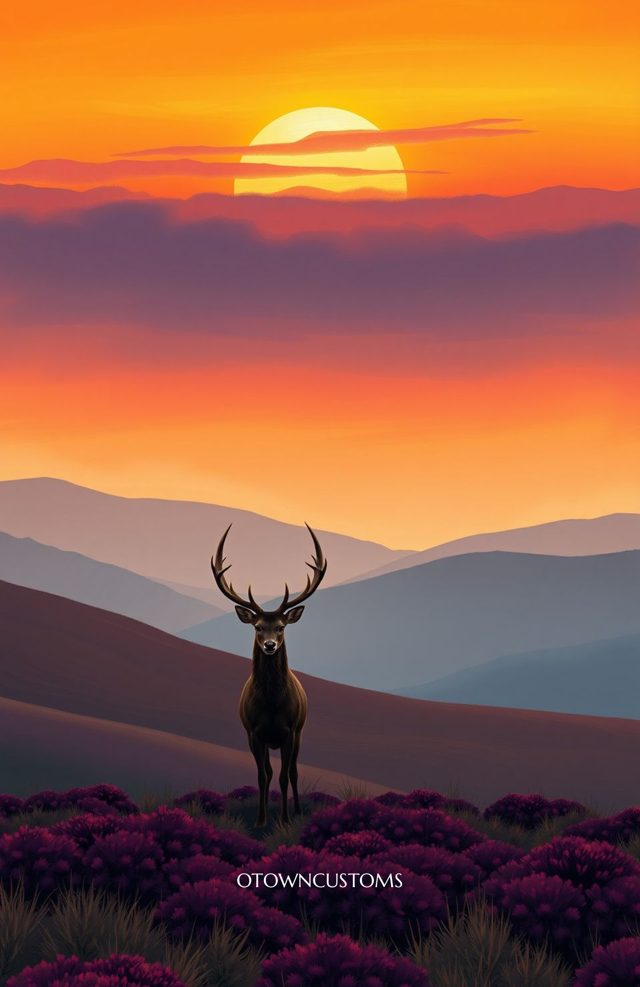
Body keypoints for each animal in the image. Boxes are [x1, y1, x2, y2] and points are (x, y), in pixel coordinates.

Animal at [211, 524, 327, 827]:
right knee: (271, 772)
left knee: (294, 772)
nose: (270, 645)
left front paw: (284, 820)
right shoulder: (254, 733)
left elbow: (286, 777)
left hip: (300, 732)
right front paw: (261, 820)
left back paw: (296, 810)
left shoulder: (289, 731)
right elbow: (263, 776)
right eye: (258, 627)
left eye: (282, 627)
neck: (272, 704)